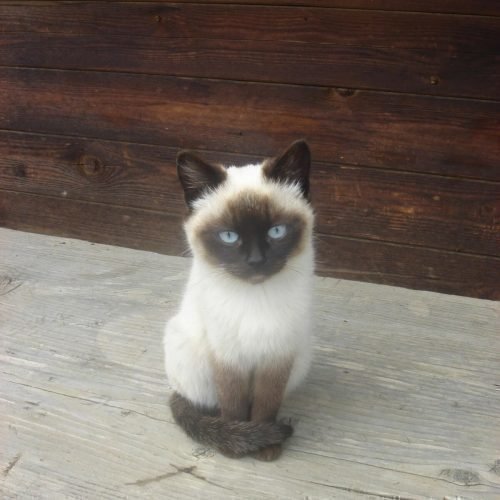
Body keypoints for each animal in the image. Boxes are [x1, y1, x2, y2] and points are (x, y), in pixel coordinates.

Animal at [163, 141, 312, 460]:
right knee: (203, 402)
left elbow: (267, 404)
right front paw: (236, 444)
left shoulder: (277, 355)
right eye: (229, 236)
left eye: (276, 231)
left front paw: (266, 447)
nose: (256, 261)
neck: (255, 297)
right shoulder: (227, 356)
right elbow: (233, 403)